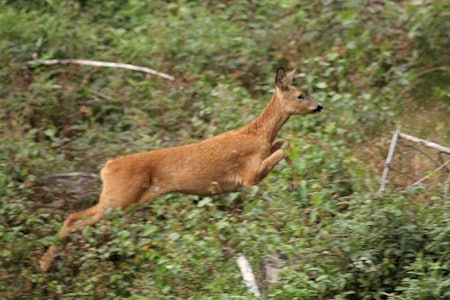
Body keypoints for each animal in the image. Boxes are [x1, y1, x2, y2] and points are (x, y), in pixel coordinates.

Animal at [37, 67, 320, 272]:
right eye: (300, 95)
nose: (319, 107)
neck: (257, 134)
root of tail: (106, 167)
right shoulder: (250, 176)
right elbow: (286, 146)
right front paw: (299, 184)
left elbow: (283, 142)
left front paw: (299, 183)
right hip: (118, 197)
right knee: (74, 218)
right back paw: (44, 264)